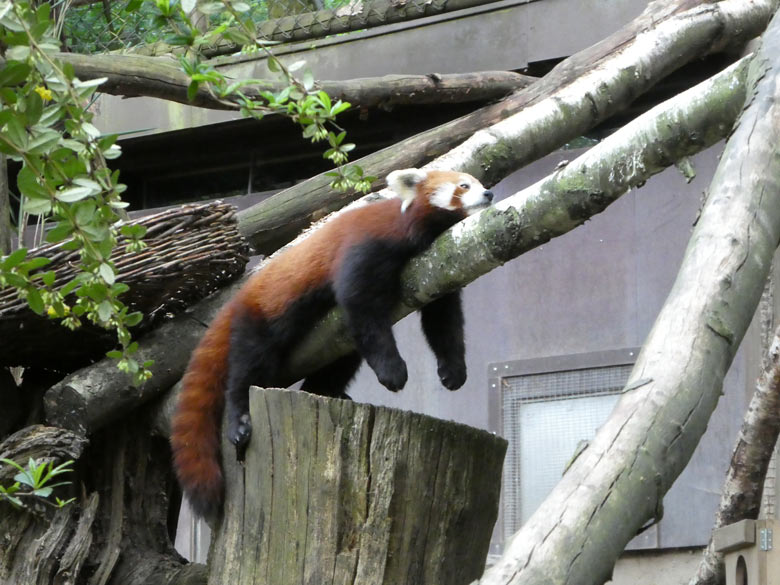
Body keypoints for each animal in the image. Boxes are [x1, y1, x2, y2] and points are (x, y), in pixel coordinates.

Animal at [171, 168, 494, 516]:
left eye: (478, 182)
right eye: (464, 185)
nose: (488, 194)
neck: (414, 230)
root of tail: (236, 299)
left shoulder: (435, 269)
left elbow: (443, 321)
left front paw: (453, 370)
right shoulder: (366, 246)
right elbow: (359, 303)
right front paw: (393, 372)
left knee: (340, 360)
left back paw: (328, 391)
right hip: (261, 318)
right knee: (248, 368)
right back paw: (239, 420)